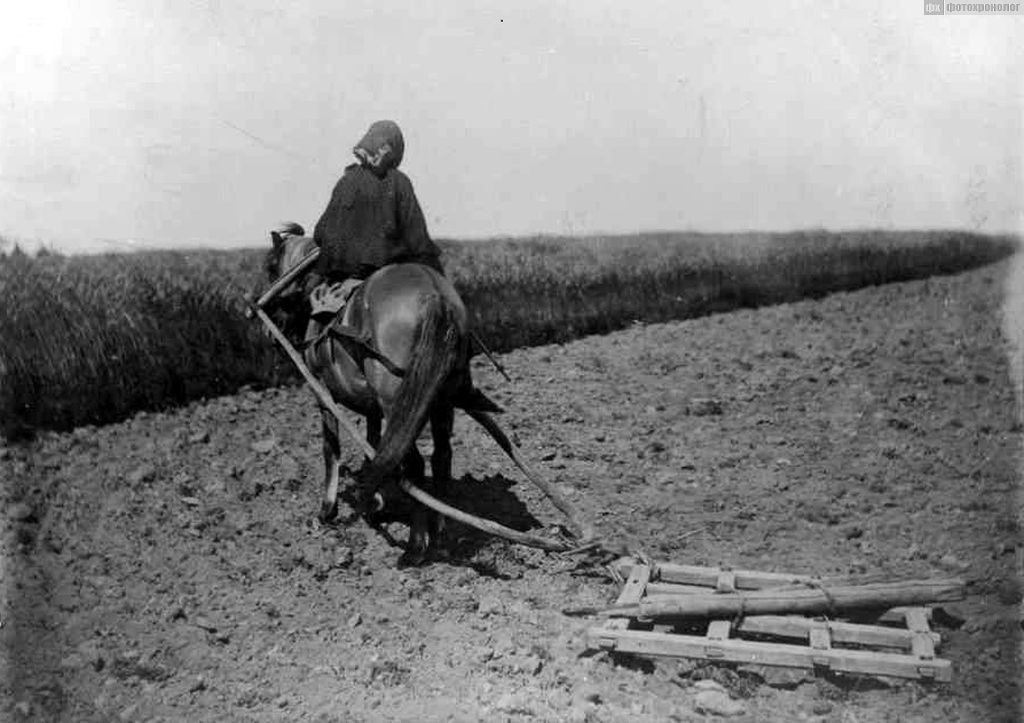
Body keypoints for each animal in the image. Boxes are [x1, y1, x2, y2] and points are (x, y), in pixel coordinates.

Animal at [262, 222, 497, 561]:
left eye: (270, 266)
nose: (269, 330)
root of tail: (435, 295)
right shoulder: (371, 405)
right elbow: (373, 446)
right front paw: (373, 502)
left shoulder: (323, 393)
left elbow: (331, 449)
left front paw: (327, 510)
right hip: (440, 402)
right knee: (440, 457)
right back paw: (439, 531)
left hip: (397, 402)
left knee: (414, 465)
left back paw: (414, 548)